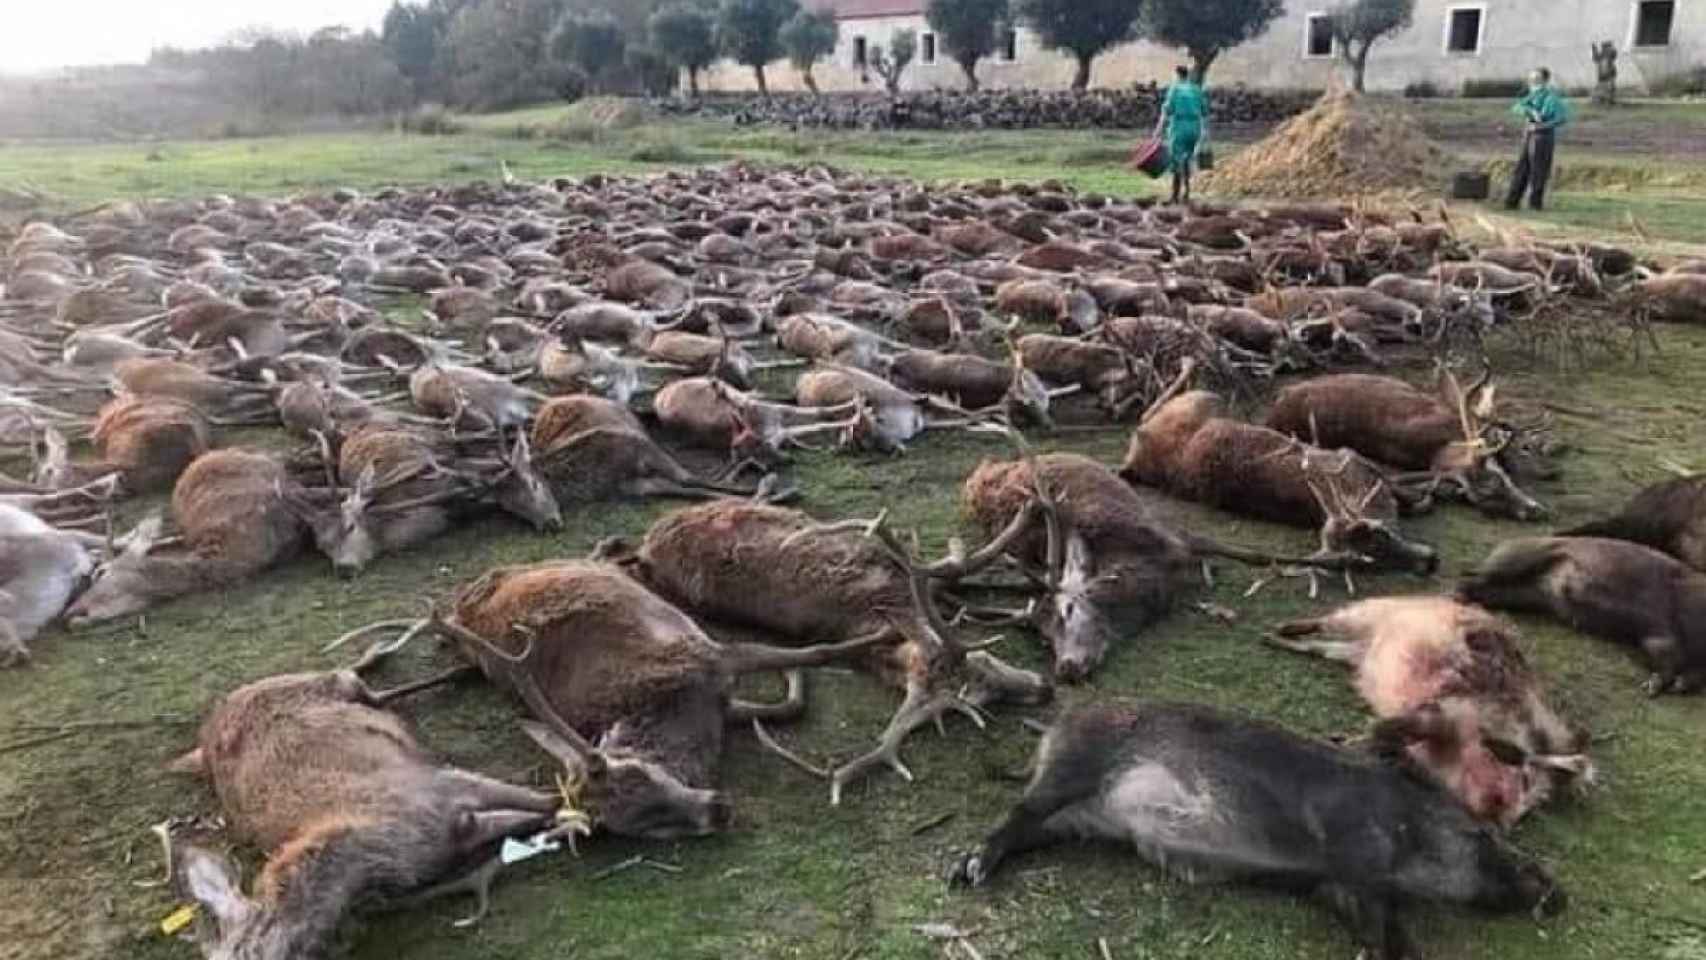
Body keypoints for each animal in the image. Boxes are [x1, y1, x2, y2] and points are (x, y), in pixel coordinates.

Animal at [614, 501, 1050, 808]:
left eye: (986, 666)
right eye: (979, 676)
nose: (1042, 686)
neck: (888, 607)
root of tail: (648, 543)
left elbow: (962, 567)